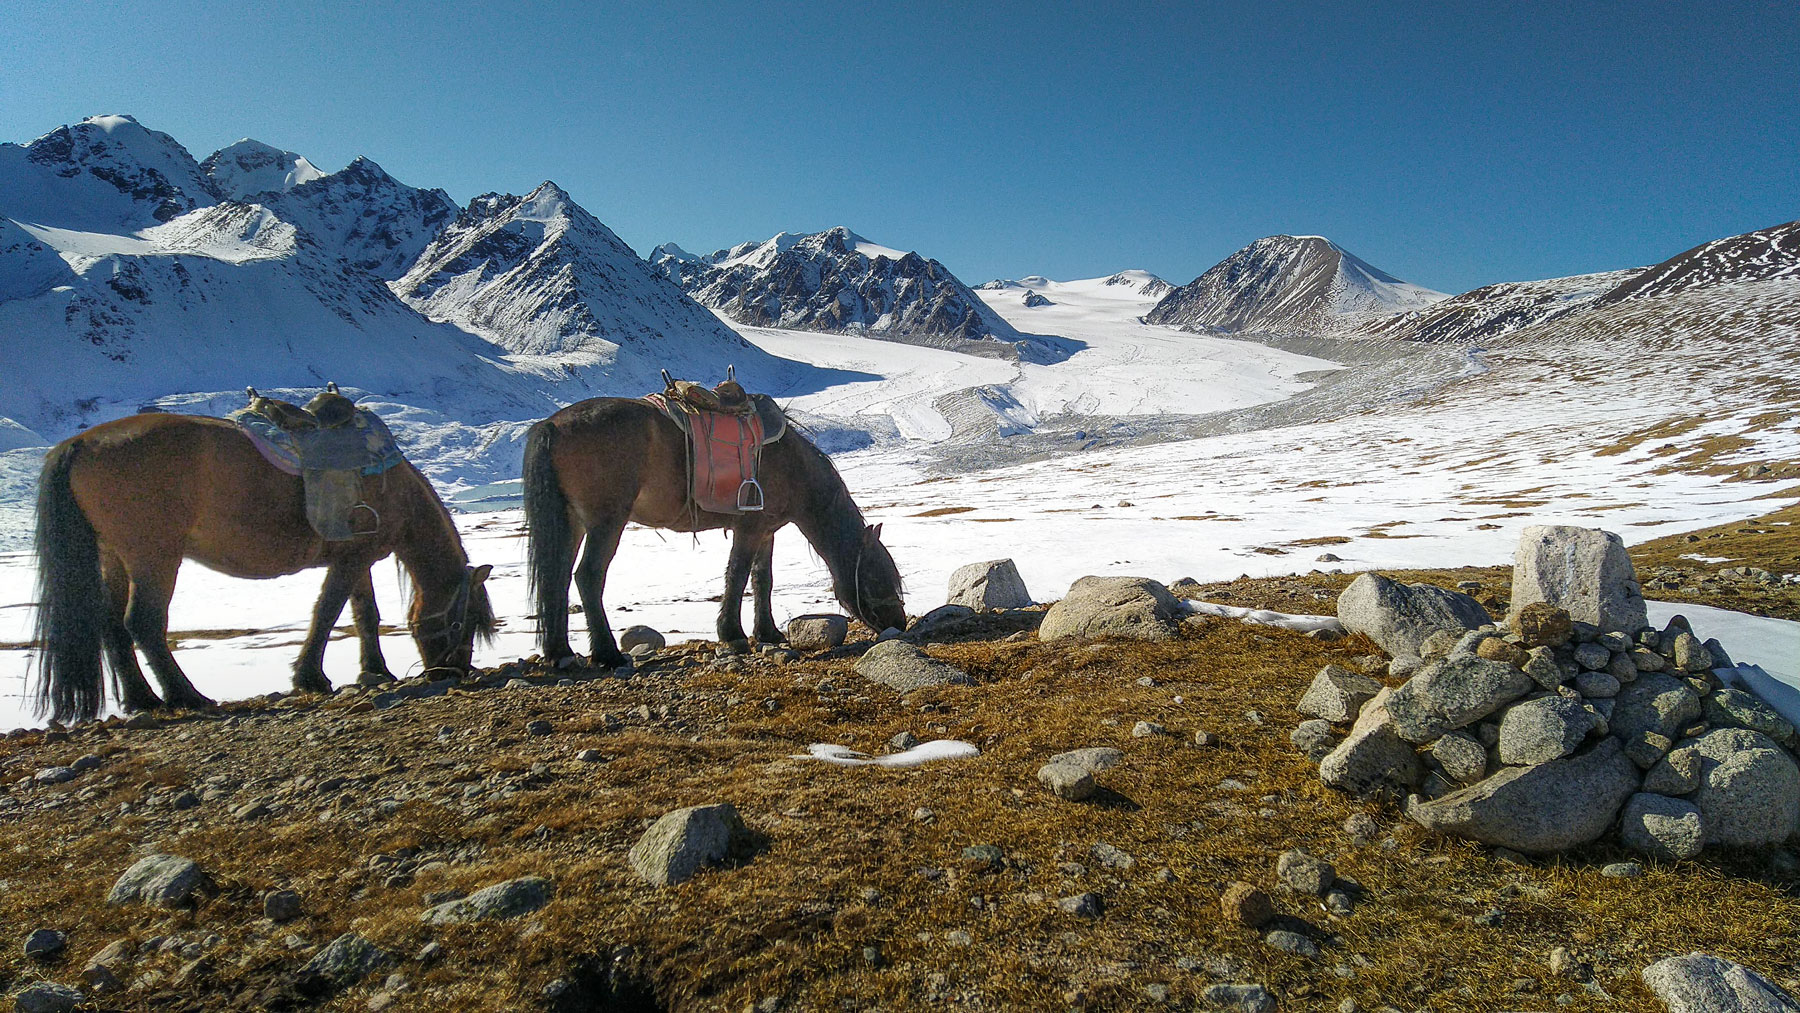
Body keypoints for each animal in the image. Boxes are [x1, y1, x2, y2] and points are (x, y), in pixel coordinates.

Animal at [35, 415, 496, 726]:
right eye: (465, 622)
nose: (453, 672)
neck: (392, 483)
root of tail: (80, 443)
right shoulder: (351, 560)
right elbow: (327, 613)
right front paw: (310, 676)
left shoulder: (356, 558)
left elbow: (365, 614)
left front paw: (375, 670)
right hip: (153, 557)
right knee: (143, 624)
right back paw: (187, 696)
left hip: (113, 557)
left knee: (112, 626)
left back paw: (141, 699)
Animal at [525, 401, 907, 669]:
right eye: (878, 575)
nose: (899, 625)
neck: (792, 464)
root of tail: (551, 425)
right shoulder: (749, 528)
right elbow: (737, 576)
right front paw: (732, 634)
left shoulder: (766, 531)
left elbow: (762, 580)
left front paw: (768, 632)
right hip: (606, 522)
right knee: (588, 576)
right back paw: (607, 654)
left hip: (572, 523)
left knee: (557, 577)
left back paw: (560, 652)